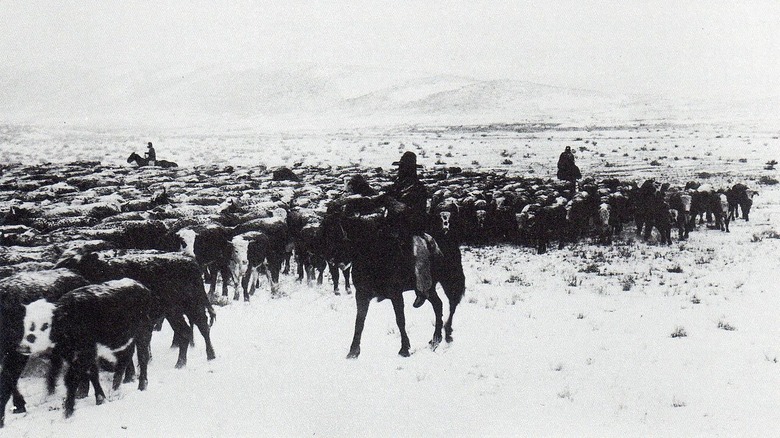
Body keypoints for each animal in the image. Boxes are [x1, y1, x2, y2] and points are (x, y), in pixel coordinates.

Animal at [322, 199, 466, 360]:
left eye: (336, 232)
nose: (331, 260)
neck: (375, 254)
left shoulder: (396, 294)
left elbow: (400, 320)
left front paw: (404, 349)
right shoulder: (362, 295)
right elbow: (359, 322)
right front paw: (353, 351)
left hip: (449, 280)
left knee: (452, 303)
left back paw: (447, 335)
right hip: (430, 288)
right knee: (438, 305)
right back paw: (435, 339)